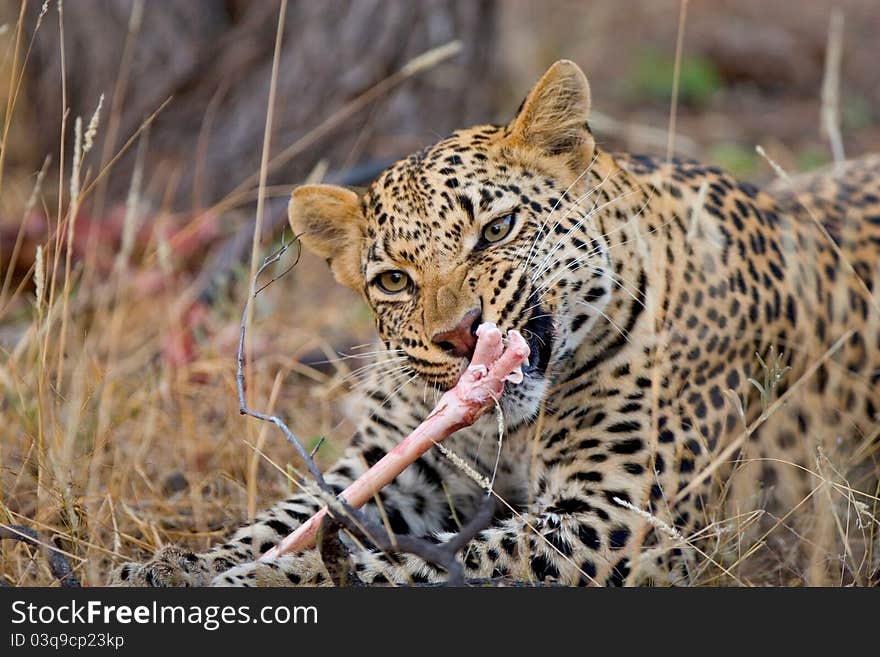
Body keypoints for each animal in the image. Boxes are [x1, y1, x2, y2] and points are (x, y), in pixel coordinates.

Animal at [115, 60, 880, 584]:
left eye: (497, 229)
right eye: (394, 281)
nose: (460, 337)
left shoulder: (627, 521)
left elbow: (422, 565)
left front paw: (269, 579)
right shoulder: (403, 466)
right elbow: (300, 513)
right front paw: (175, 565)